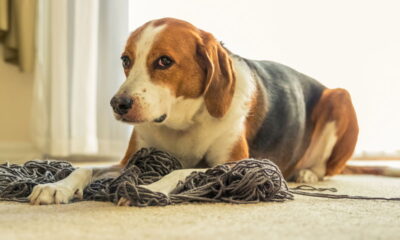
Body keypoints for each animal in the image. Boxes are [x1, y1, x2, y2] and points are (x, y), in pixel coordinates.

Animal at [28, 18, 360, 205]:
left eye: (164, 61)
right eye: (125, 60)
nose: (118, 104)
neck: (182, 122)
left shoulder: (237, 163)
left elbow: (183, 170)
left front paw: (149, 188)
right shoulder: (128, 159)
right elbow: (83, 168)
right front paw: (56, 186)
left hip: (340, 97)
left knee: (327, 167)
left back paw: (308, 172)